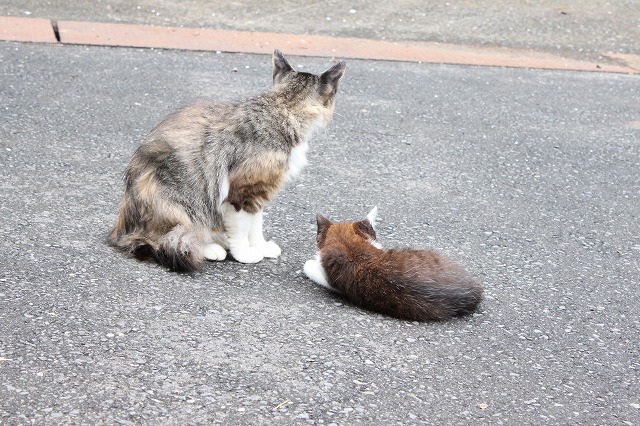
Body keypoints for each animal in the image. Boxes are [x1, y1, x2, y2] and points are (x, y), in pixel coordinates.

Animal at [107, 49, 344, 270]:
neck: (280, 108)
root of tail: (122, 231)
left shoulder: (259, 192)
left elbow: (256, 225)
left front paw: (260, 246)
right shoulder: (241, 192)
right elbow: (242, 229)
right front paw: (244, 253)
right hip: (181, 205)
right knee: (171, 237)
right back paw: (210, 248)